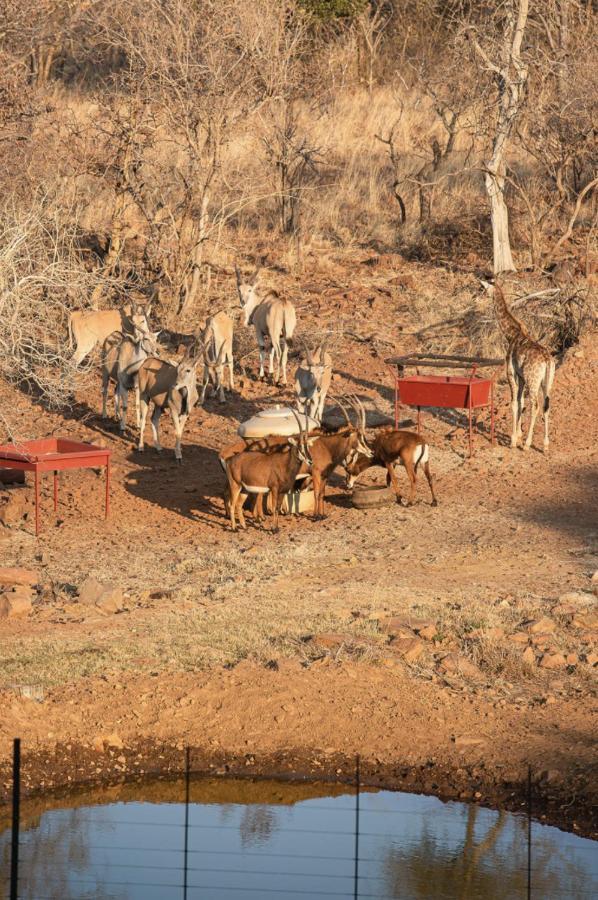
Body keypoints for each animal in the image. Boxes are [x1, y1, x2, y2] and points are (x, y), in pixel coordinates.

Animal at [482, 280, 556, 450]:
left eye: (483, 289)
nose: (479, 299)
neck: (511, 335)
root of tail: (547, 360)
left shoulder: (511, 372)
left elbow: (515, 403)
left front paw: (514, 440)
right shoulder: (521, 377)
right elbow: (521, 402)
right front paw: (519, 436)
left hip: (533, 380)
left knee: (535, 405)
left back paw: (528, 444)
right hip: (547, 382)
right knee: (546, 405)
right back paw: (545, 445)